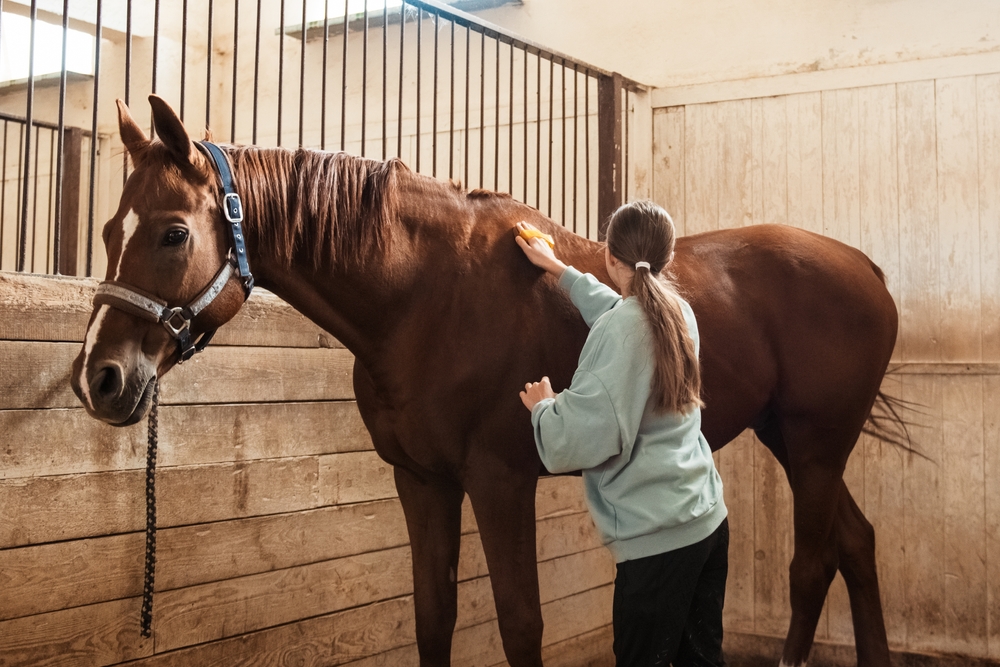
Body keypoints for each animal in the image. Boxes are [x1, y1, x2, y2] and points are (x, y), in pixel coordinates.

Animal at [71, 95, 903, 667]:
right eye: (110, 231)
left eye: (173, 232)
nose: (99, 379)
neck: (422, 294)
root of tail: (867, 267)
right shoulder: (422, 480)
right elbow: (433, 614)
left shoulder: (501, 481)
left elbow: (520, 621)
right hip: (795, 441)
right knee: (858, 543)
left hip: (815, 447)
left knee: (813, 564)